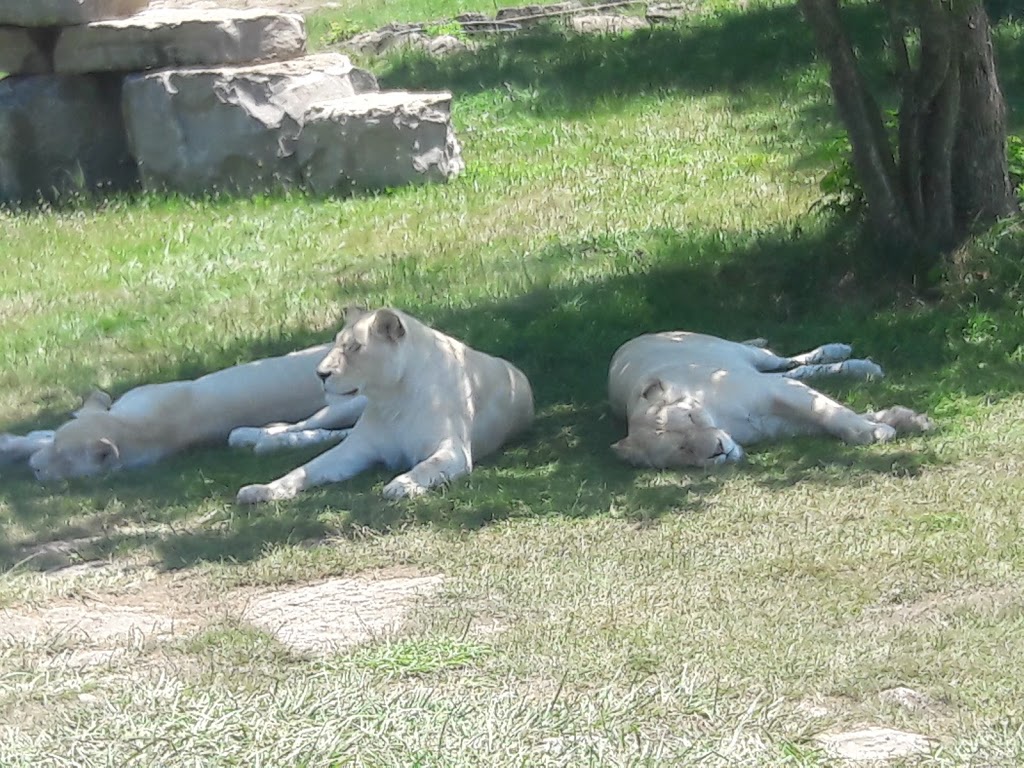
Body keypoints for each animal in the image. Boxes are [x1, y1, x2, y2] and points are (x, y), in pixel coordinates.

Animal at [233, 307, 536, 505]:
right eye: (336, 344)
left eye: (354, 347)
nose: (320, 374)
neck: (391, 399)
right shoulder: (356, 449)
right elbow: (303, 470)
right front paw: (263, 490)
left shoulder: (454, 450)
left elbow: (427, 466)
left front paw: (402, 485)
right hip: (343, 407)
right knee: (304, 426)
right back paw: (249, 436)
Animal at [606, 331, 937, 468]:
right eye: (682, 449)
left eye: (689, 417)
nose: (718, 450)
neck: (725, 423)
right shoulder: (779, 420)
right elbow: (834, 415)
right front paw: (903, 418)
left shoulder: (776, 389)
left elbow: (830, 411)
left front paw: (878, 430)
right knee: (800, 370)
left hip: (744, 354)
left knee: (788, 361)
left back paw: (850, 357)